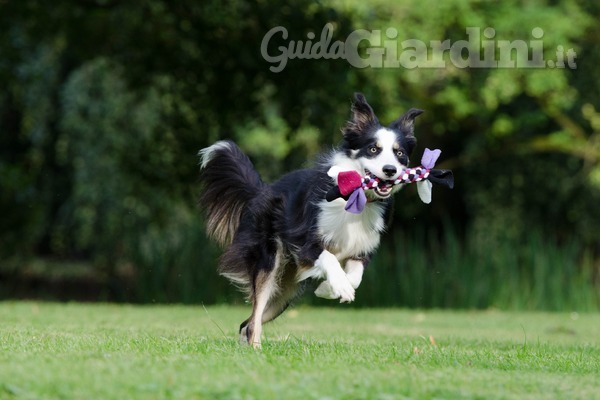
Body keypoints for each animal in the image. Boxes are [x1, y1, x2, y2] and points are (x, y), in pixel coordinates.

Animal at [198, 94, 422, 346]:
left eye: (399, 153)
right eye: (373, 149)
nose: (390, 170)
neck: (357, 198)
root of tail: (262, 190)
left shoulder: (362, 248)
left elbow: (355, 277)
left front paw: (328, 288)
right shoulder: (303, 240)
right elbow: (330, 259)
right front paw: (339, 286)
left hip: (284, 291)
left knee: (246, 323)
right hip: (270, 262)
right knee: (254, 319)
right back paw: (256, 349)